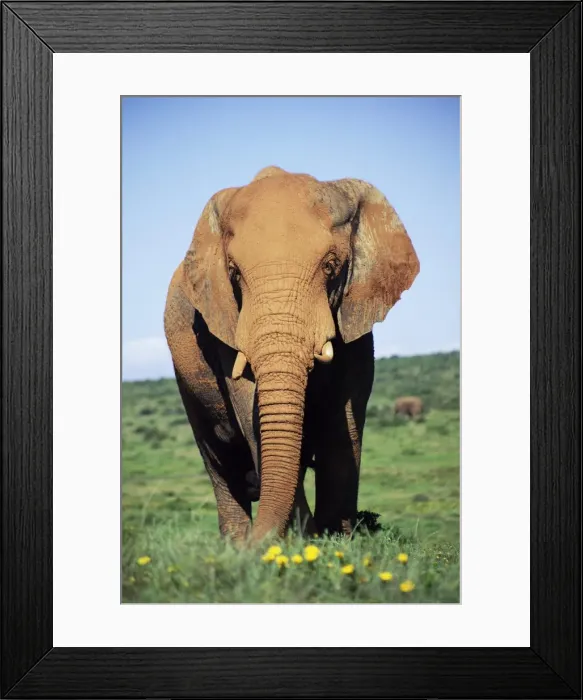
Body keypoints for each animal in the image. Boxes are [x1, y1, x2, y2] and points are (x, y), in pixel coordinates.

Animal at [164, 166, 420, 543]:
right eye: (234, 272)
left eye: (330, 266)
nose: (260, 541)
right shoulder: (224, 320)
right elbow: (249, 407)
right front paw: (301, 541)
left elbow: (344, 420)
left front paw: (336, 542)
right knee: (218, 461)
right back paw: (236, 544)